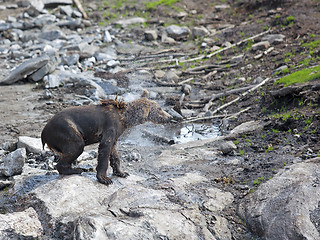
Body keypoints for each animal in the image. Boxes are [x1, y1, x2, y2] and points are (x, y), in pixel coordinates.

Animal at [41, 96, 171, 185]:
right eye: (160, 108)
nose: (170, 117)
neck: (124, 119)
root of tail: (43, 132)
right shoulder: (110, 126)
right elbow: (104, 150)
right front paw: (104, 179)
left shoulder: (115, 135)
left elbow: (114, 154)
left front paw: (122, 172)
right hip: (66, 130)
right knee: (76, 146)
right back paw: (76, 170)